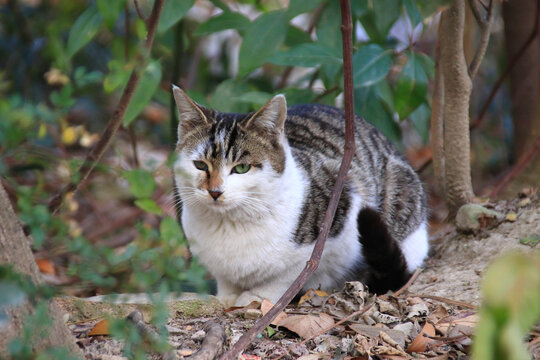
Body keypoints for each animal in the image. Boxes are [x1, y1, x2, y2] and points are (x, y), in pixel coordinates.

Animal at [171, 86, 428, 306]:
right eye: (200, 165)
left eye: (241, 168)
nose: (215, 191)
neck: (229, 224)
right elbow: (226, 280)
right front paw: (228, 296)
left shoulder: (342, 200)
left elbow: (288, 275)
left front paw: (256, 296)